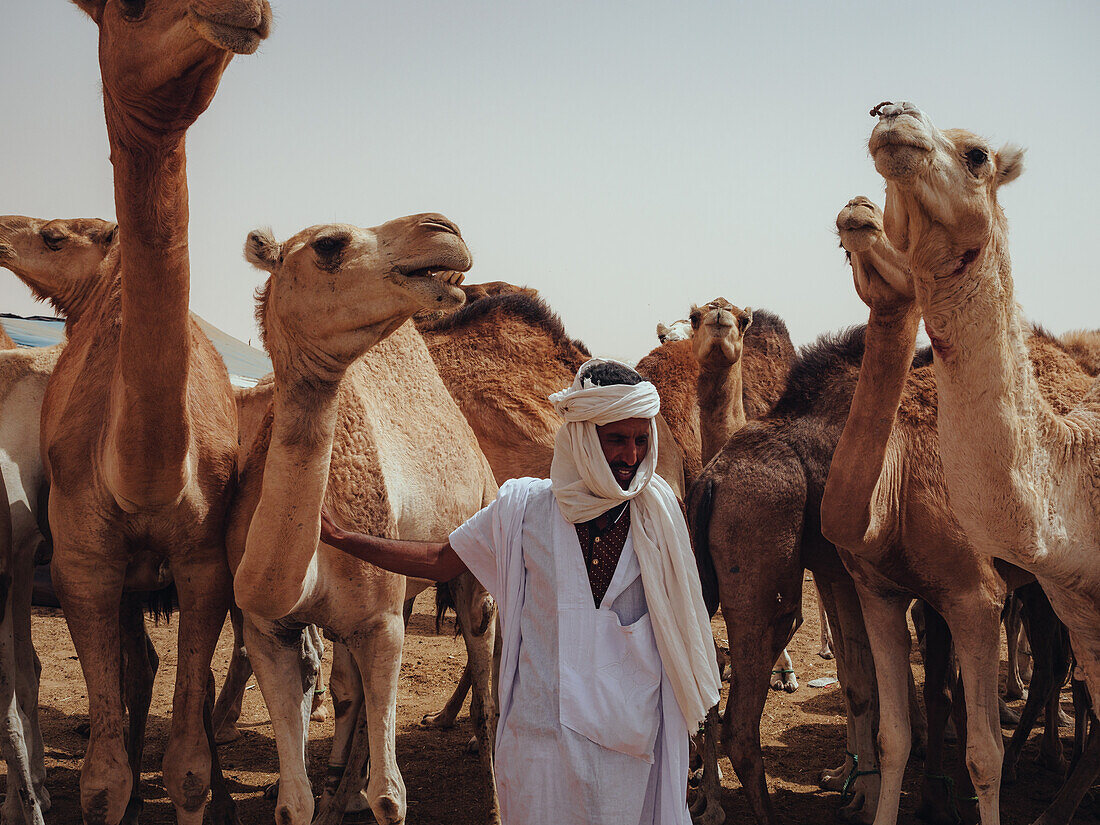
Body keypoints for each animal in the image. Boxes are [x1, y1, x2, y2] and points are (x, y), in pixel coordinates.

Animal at [48, 3, 271, 822]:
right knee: (137, 669)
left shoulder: (204, 562)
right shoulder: (82, 564)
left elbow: (188, 767)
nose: (246, 10)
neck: (138, 472)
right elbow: (102, 777)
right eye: (131, 5)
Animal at [232, 214, 499, 825]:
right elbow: (292, 804)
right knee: (350, 692)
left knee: (484, 669)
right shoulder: (266, 630)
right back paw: (342, 793)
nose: (443, 229)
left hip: (474, 548)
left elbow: (391, 796)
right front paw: (324, 798)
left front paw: (367, 794)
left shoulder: (383, 625)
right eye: (329, 244)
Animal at [822, 195, 1095, 825]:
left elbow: (982, 755)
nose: (857, 210)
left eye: (903, 228)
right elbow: (894, 738)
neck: (890, 502)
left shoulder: (975, 596)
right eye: (842, 247)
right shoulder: (879, 593)